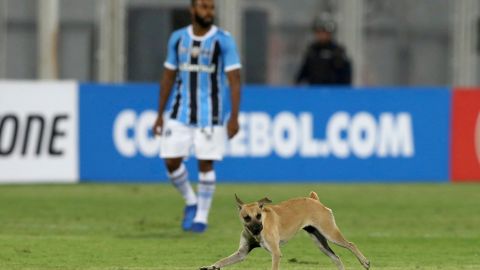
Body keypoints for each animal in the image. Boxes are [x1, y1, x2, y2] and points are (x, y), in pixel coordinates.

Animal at [199, 192, 372, 270]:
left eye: (259, 215)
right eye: (247, 217)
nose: (258, 229)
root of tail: (314, 200)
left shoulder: (276, 253)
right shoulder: (241, 253)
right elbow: (222, 261)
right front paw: (210, 267)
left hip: (330, 233)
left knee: (351, 244)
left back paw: (365, 261)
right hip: (319, 241)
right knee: (336, 257)